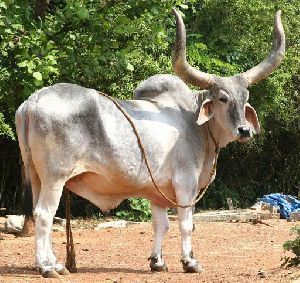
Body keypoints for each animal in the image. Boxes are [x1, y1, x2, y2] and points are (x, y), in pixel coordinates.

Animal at [15, 9, 284, 280]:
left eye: (245, 97)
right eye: (222, 98)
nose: (244, 130)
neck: (193, 121)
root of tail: (31, 102)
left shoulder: (157, 190)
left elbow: (160, 224)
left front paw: (157, 261)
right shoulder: (185, 183)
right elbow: (186, 224)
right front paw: (190, 261)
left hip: (36, 176)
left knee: (39, 213)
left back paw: (56, 263)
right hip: (55, 178)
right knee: (44, 215)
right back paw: (47, 267)